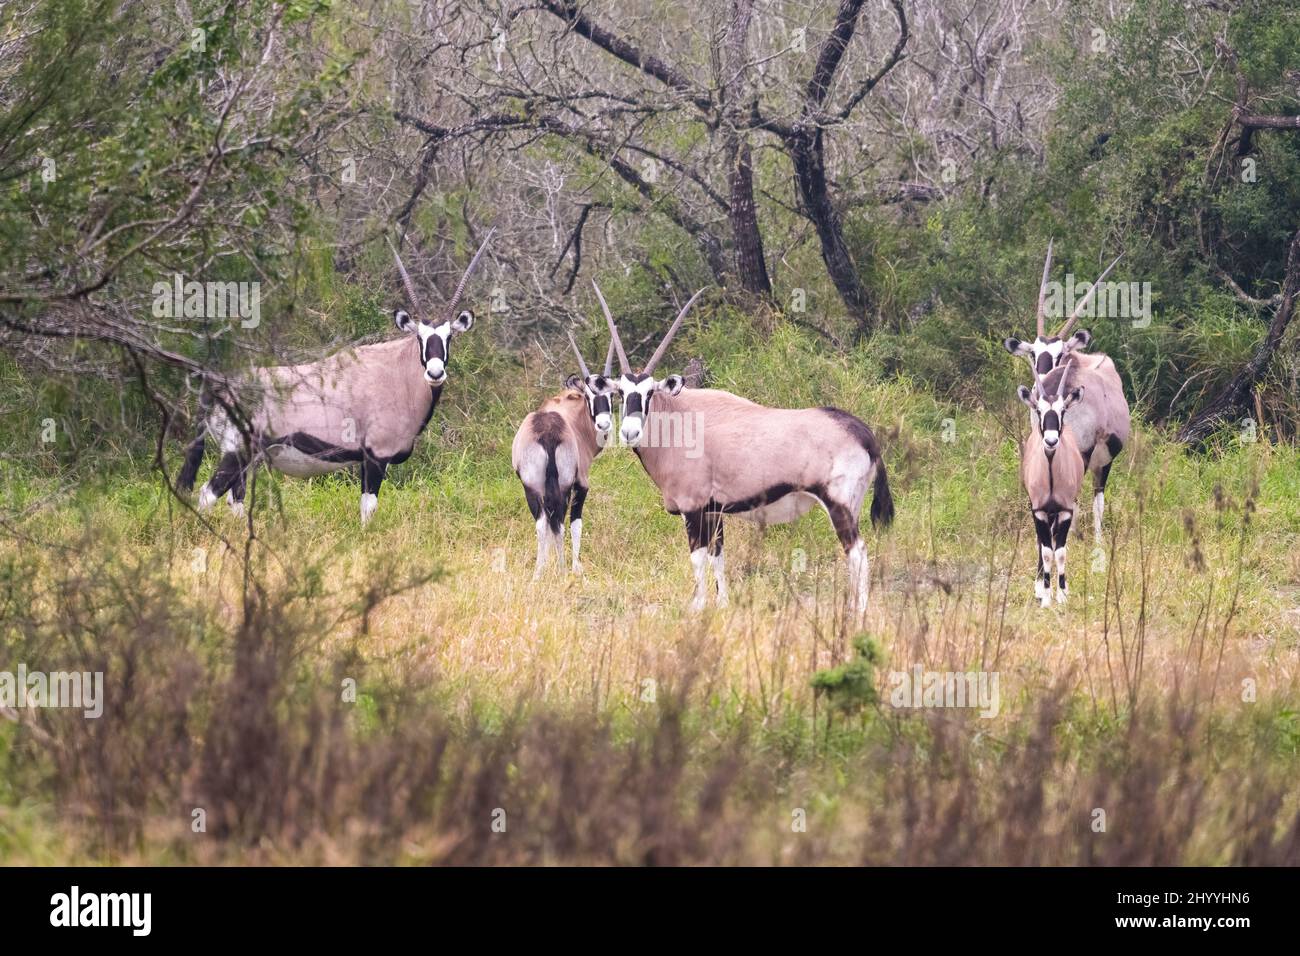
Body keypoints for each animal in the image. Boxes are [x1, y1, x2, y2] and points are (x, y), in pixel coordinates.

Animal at [178, 234, 491, 528]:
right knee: (208, 494)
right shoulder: (376, 457)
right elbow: (369, 506)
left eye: (449, 337)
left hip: (249, 458)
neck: (398, 372)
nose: (435, 374)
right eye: (419, 338)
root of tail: (217, 386)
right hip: (237, 452)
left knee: (236, 499)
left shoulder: (366, 460)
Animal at [509, 329, 616, 574]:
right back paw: (562, 568)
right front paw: (576, 568)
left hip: (532, 487)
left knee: (544, 524)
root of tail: (548, 433)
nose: (603, 424)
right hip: (564, 485)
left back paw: (539, 572)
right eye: (589, 396)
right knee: (559, 522)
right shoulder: (581, 483)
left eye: (612, 395)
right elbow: (576, 523)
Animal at [595, 283, 894, 613]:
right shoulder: (714, 512)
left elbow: (698, 560)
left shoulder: (693, 509)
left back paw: (858, 611)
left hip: (839, 504)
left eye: (649, 393)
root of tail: (863, 432)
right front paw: (723, 604)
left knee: (858, 553)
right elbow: (718, 558)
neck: (679, 421)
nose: (629, 431)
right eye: (621, 393)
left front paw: (697, 607)